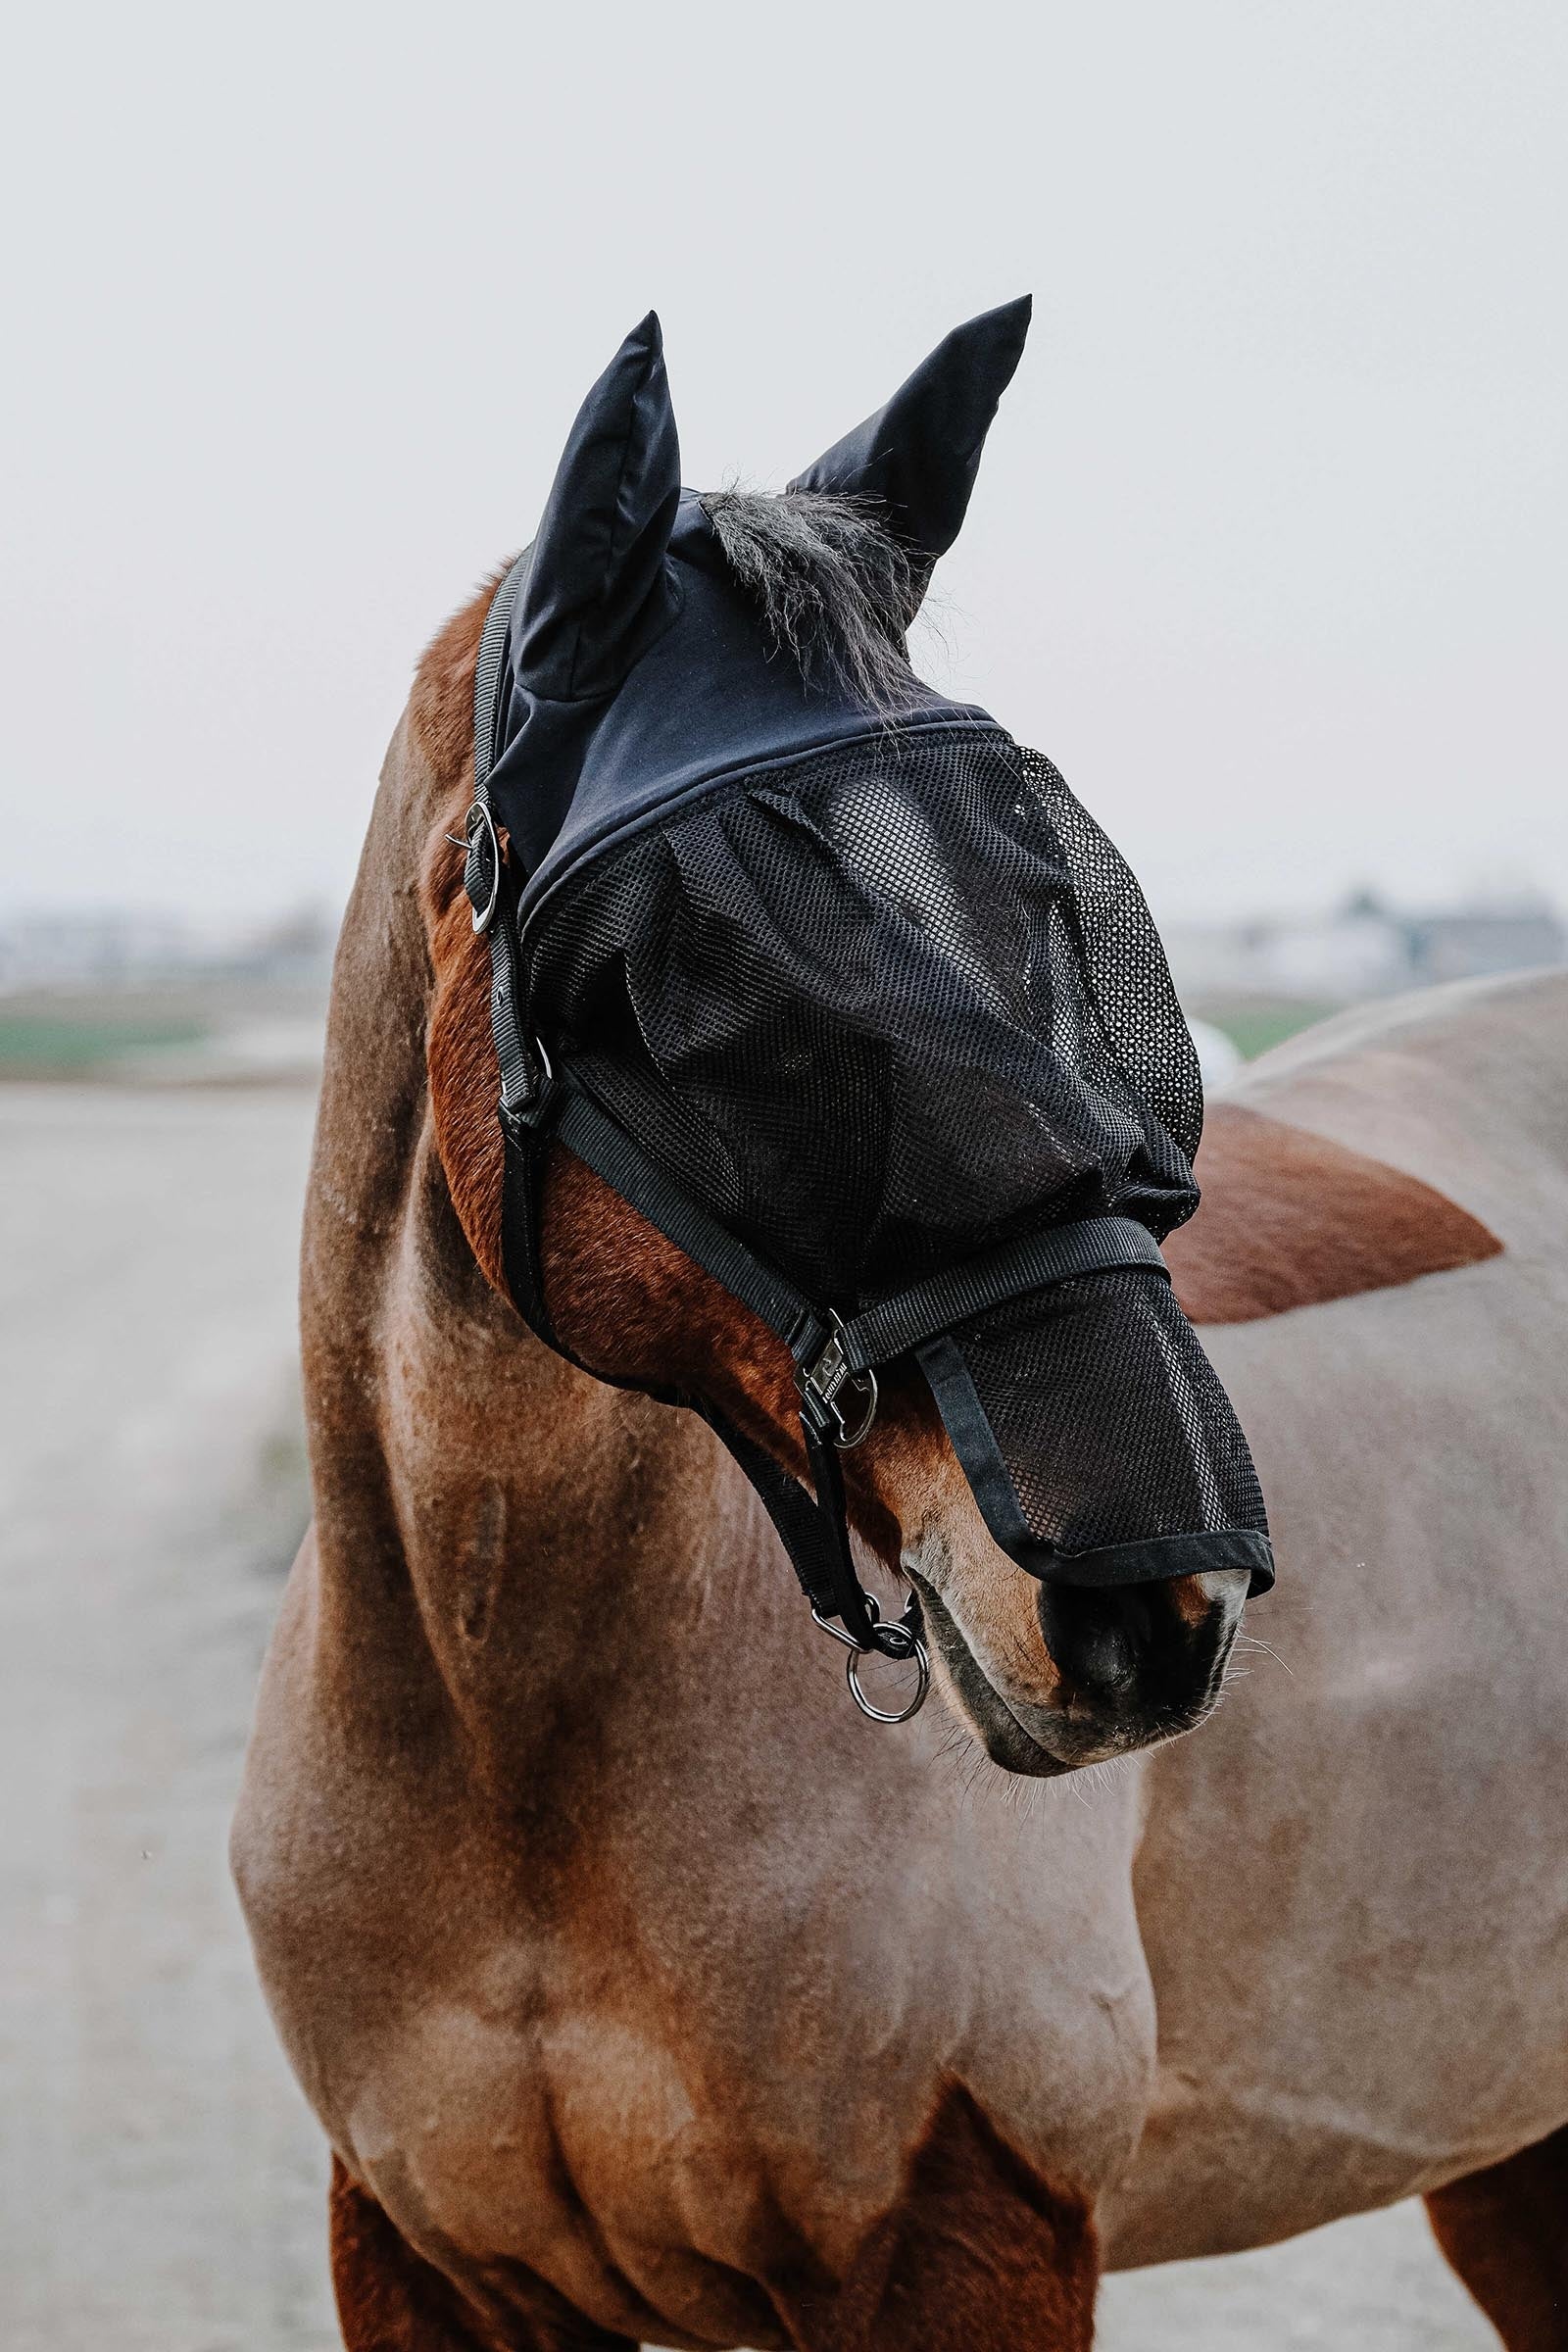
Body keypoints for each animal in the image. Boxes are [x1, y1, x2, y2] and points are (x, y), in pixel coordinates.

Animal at [234, 345, 1568, 2350]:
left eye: (1057, 915)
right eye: (715, 995)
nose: (1158, 1610)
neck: (506, 1745)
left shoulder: (964, 2242)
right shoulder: (417, 2259)